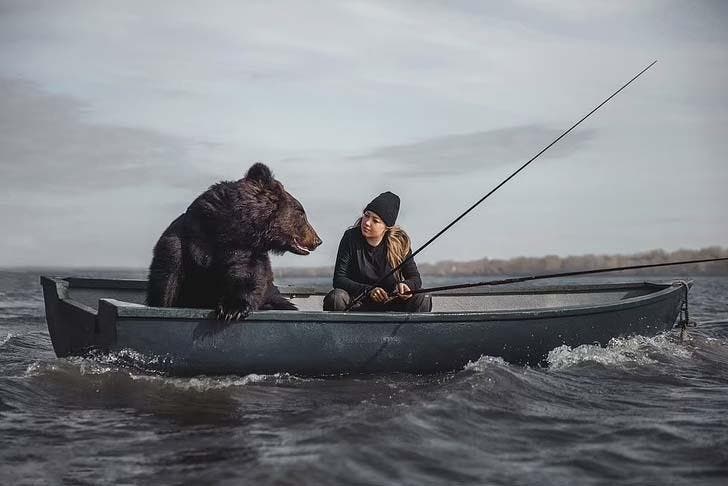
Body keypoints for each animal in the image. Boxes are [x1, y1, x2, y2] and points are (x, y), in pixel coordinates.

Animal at [146, 163, 320, 318]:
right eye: (301, 213)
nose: (318, 240)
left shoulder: (245, 250)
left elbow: (246, 275)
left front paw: (232, 309)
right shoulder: (185, 240)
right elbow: (167, 280)